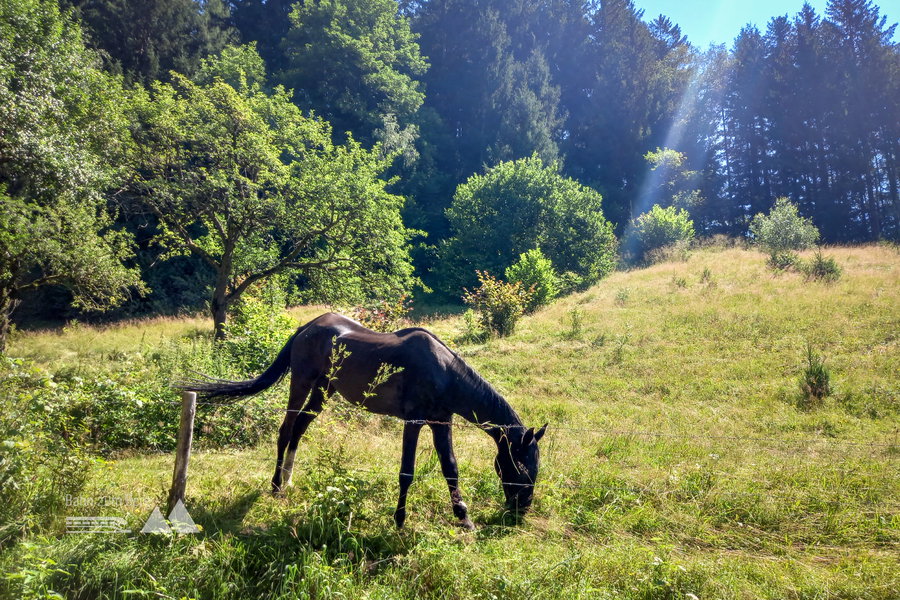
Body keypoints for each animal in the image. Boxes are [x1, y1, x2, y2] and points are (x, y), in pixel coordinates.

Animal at [183, 312, 547, 530]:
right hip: (301, 382)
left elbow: (451, 468)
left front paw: (464, 518)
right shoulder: (414, 422)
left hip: (324, 389)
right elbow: (406, 471)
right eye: (521, 466)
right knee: (286, 429)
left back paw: (287, 480)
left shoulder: (440, 422)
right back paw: (275, 485)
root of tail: (307, 327)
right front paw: (399, 520)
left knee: (300, 427)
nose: (522, 509)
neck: (444, 372)